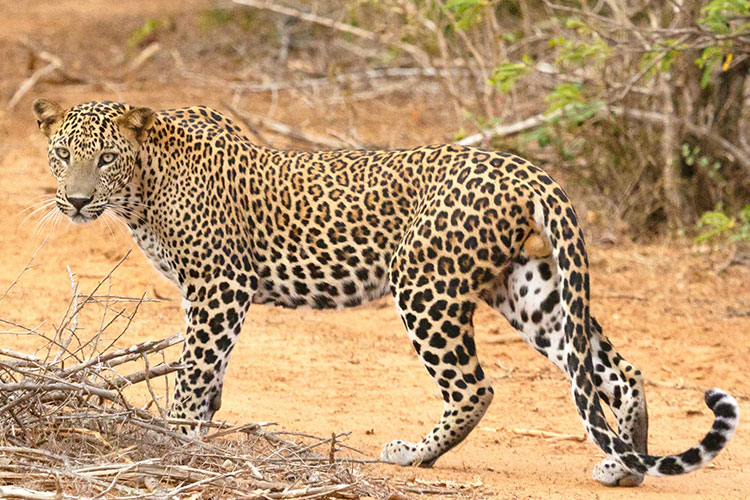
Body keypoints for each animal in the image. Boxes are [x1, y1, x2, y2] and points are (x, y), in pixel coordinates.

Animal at [33, 98, 739, 486]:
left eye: (105, 159)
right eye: (62, 155)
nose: (77, 200)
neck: (142, 189)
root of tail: (527, 168)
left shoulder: (218, 286)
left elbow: (193, 371)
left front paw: (173, 441)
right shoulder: (212, 294)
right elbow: (211, 375)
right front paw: (197, 436)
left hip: (424, 284)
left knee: (476, 387)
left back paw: (412, 456)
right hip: (530, 290)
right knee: (612, 370)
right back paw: (626, 463)